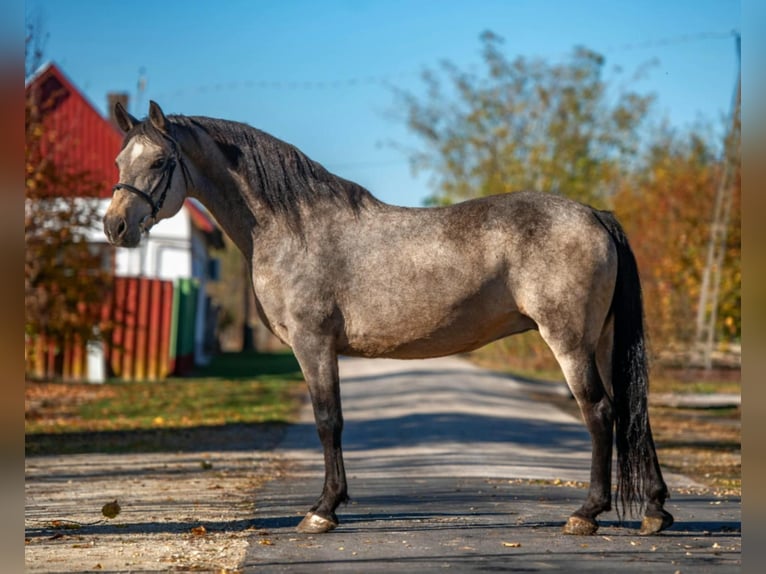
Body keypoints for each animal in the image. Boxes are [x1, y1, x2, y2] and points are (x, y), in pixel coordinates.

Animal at [103, 100, 674, 536]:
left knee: (599, 412)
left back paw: (587, 513)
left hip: (570, 341)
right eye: (118, 160)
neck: (292, 226)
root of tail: (596, 214)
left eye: (160, 161)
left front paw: (323, 510)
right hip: (603, 340)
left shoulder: (313, 345)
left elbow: (328, 422)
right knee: (631, 411)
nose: (115, 226)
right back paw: (654, 510)